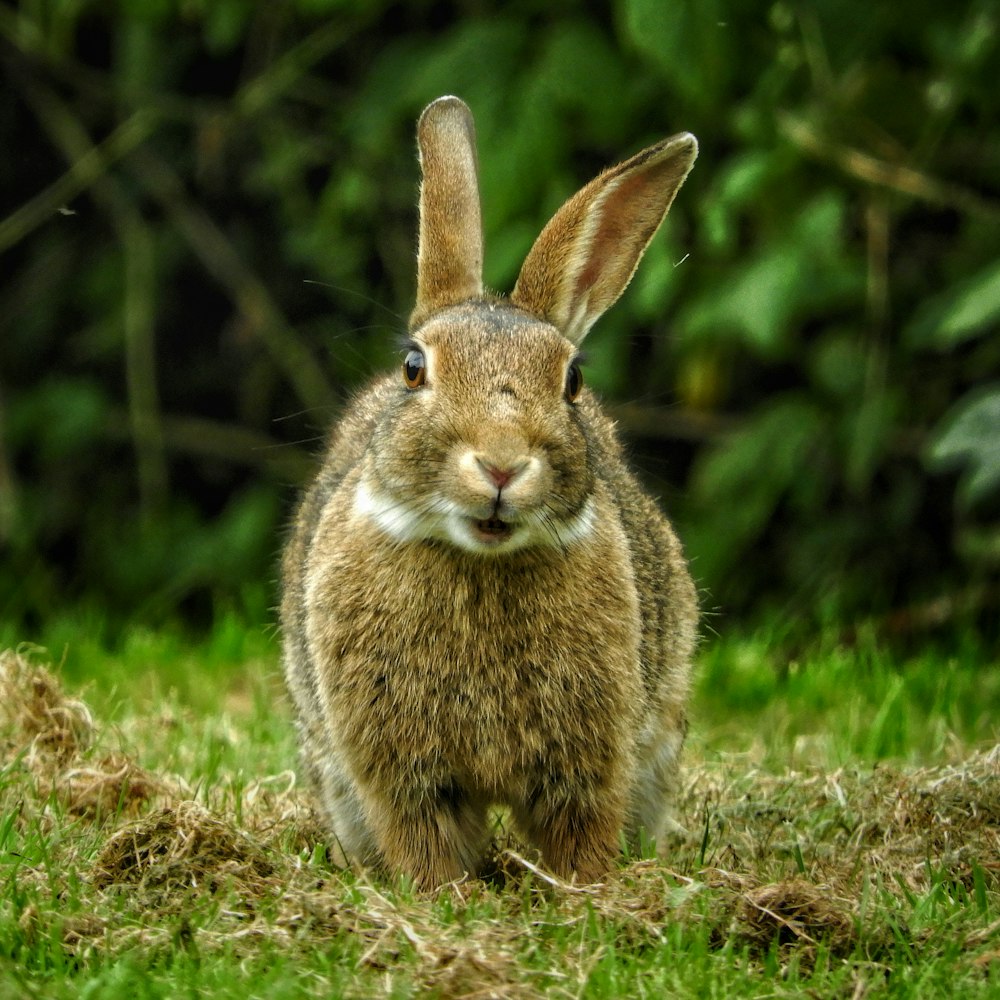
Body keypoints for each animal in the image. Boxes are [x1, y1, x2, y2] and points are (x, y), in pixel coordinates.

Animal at [278, 95, 700, 892]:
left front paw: (584, 894)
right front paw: (439, 898)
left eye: (572, 381)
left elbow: (583, 829)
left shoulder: (589, 761)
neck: (479, 560)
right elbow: (423, 836)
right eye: (415, 368)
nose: (502, 466)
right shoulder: (400, 773)